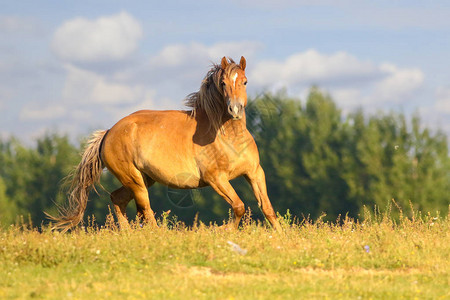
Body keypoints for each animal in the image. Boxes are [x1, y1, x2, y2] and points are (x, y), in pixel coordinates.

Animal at [49, 56, 282, 232]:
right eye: (223, 83)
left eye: (245, 81)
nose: (234, 109)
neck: (228, 137)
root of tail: (107, 134)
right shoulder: (216, 178)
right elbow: (239, 206)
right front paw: (224, 231)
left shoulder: (254, 172)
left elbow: (268, 208)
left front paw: (280, 237)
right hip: (135, 181)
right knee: (146, 212)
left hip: (143, 179)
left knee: (118, 199)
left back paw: (126, 233)